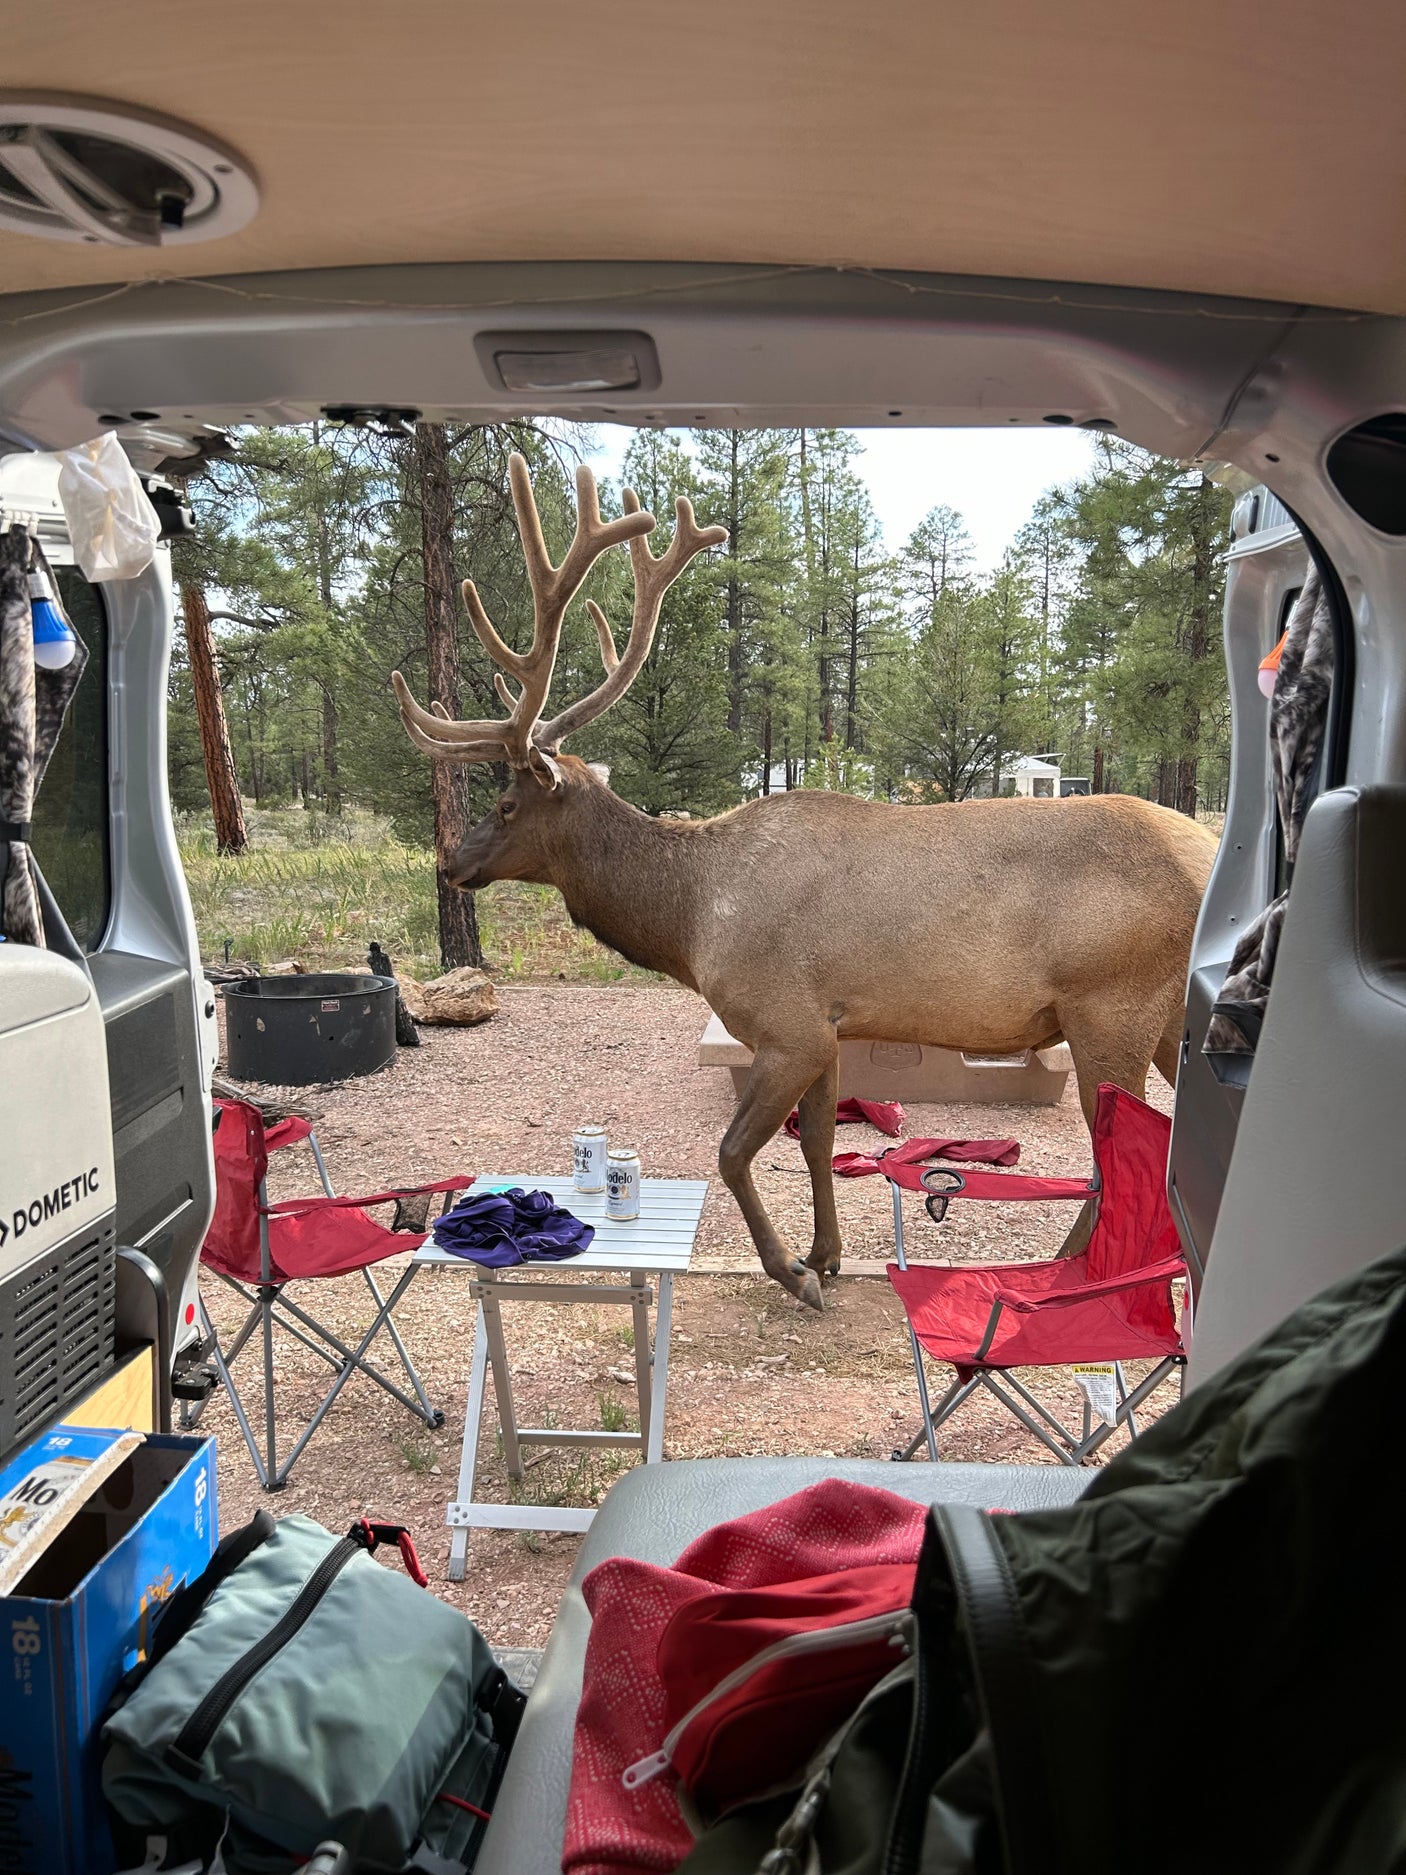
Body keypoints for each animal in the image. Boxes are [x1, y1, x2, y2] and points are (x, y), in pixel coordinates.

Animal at [393, 455, 1217, 1310]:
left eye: (506, 803)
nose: (448, 862)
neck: (691, 920)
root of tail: (1212, 850)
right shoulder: (831, 1026)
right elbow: (819, 1142)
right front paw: (826, 1255)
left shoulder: (789, 1024)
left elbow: (731, 1152)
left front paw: (791, 1270)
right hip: (1166, 1020)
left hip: (1110, 1008)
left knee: (1125, 1158)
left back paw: (1068, 1272)